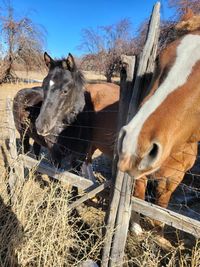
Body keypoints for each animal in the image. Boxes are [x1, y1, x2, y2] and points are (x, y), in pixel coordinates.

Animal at [118, 9, 200, 232]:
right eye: (159, 60)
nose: (134, 146)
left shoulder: (174, 178)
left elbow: (162, 204)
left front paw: (158, 229)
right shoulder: (140, 176)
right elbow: (138, 197)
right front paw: (136, 226)